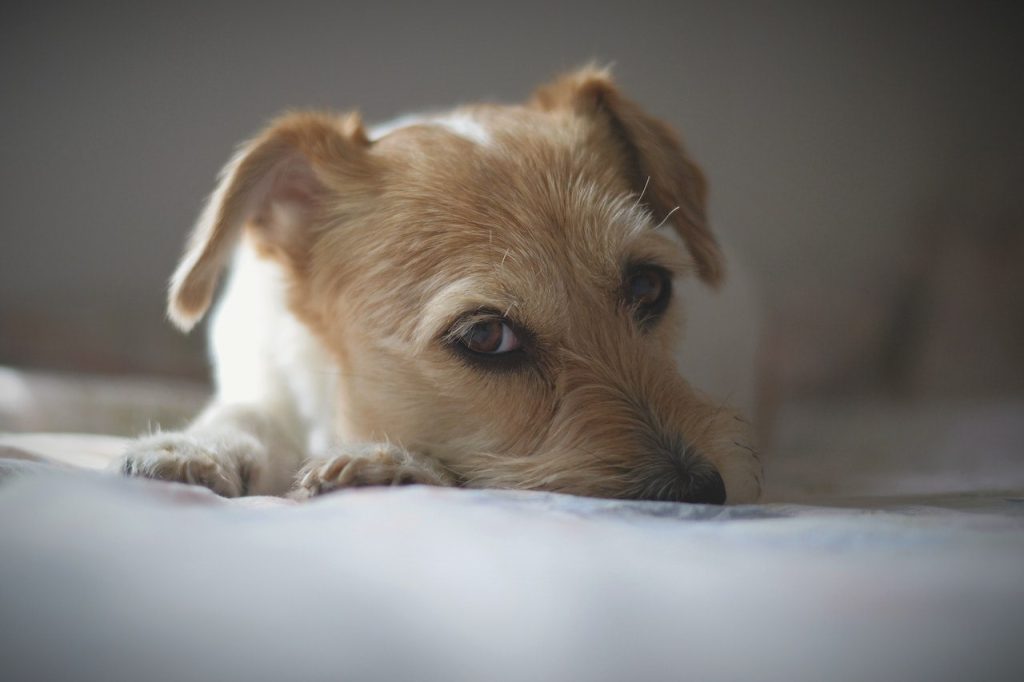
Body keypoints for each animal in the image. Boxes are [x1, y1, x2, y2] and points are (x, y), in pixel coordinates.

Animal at [116, 67, 765, 503]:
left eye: (650, 287)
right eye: (485, 336)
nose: (702, 492)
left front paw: (387, 462)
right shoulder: (263, 382)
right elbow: (245, 415)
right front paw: (197, 448)